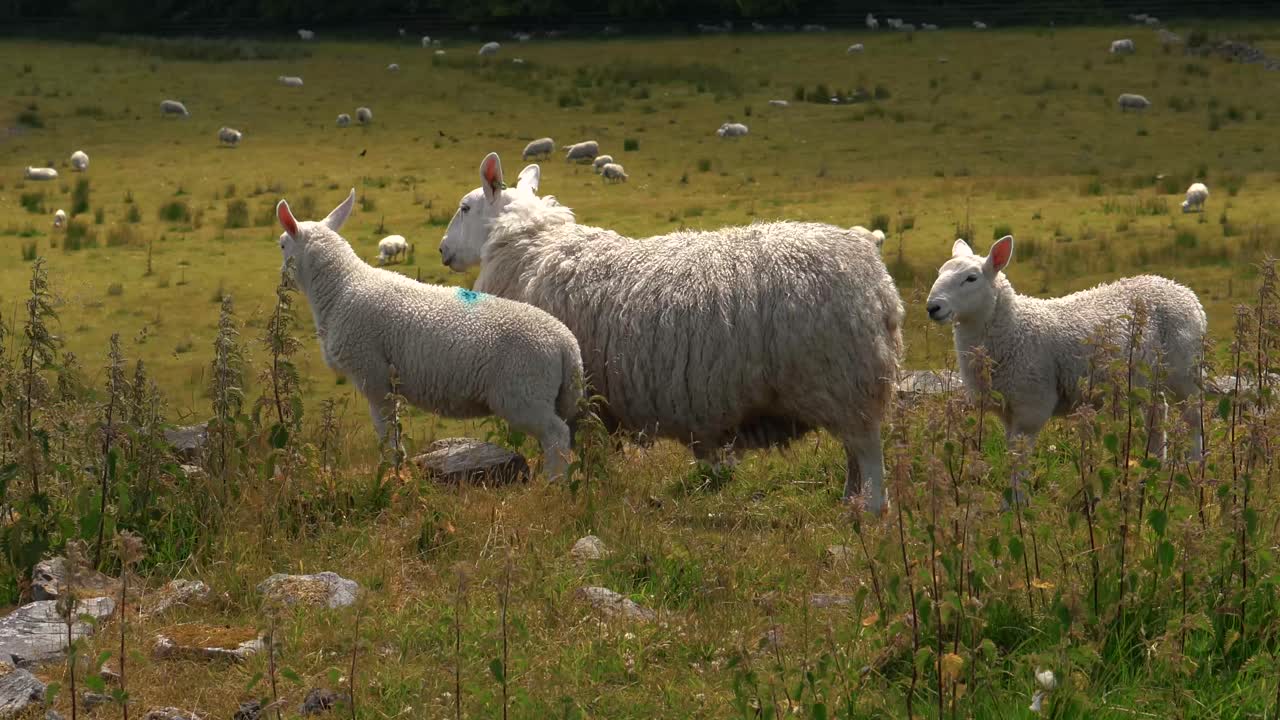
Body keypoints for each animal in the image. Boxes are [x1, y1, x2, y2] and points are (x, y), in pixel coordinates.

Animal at [276, 189, 582, 479]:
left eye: (281, 244)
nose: (282, 280)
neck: (341, 287)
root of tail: (566, 344)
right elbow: (394, 426)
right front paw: (399, 463)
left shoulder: (372, 374)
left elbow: (384, 428)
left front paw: (390, 468)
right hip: (549, 394)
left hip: (523, 393)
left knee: (557, 435)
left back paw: (553, 482)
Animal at [438, 153, 905, 513]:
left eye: (464, 207)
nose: (443, 250)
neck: (532, 250)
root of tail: (875, 273)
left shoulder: (572, 394)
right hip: (843, 385)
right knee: (854, 455)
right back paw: (849, 502)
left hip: (845, 379)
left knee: (868, 452)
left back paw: (872, 511)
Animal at [926, 236, 1206, 503]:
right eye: (938, 272)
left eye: (971, 278)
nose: (932, 307)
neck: (1014, 328)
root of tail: (1182, 290)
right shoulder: (1008, 409)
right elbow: (1012, 456)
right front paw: (1011, 504)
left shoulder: (1031, 406)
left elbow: (1020, 458)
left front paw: (1016, 504)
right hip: (1147, 379)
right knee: (1158, 413)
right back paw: (1155, 468)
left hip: (1185, 369)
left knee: (1192, 416)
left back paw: (1193, 469)